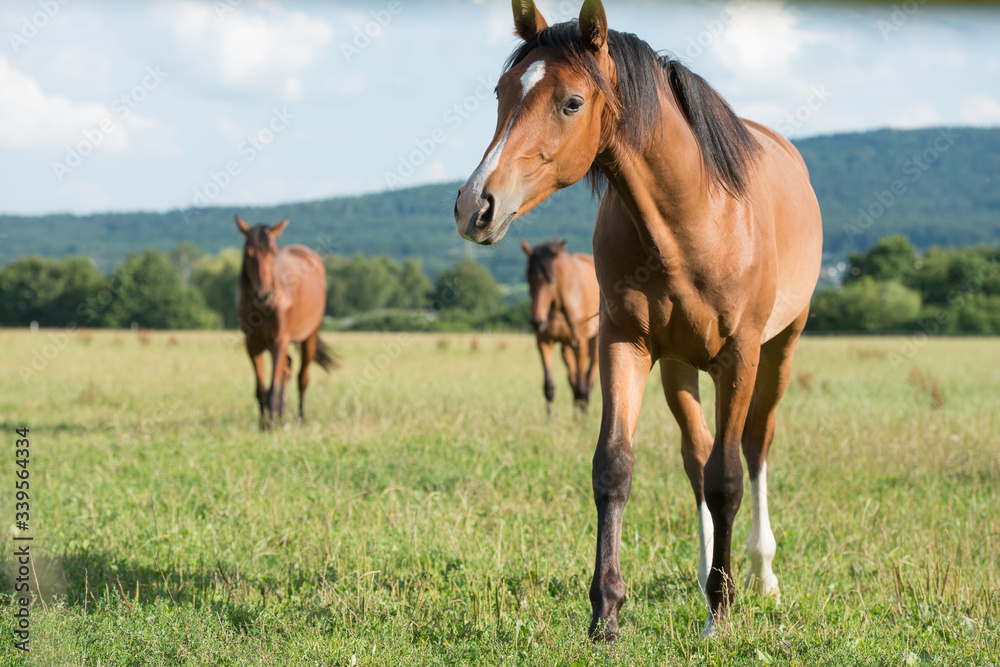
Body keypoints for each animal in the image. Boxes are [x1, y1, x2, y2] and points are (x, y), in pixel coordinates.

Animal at [235, 217, 336, 430]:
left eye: (273, 253)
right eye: (248, 254)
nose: (263, 294)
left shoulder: (279, 341)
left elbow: (273, 389)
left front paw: (271, 426)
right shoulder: (252, 346)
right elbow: (261, 390)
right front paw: (263, 425)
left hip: (309, 338)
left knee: (302, 378)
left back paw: (300, 419)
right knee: (287, 367)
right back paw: (282, 415)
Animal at [524, 240, 600, 414]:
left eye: (551, 280)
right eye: (528, 280)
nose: (537, 322)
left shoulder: (581, 344)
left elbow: (582, 386)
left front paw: (582, 420)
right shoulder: (544, 342)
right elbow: (549, 387)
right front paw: (549, 419)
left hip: (594, 340)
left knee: (588, 379)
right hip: (566, 348)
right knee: (573, 380)